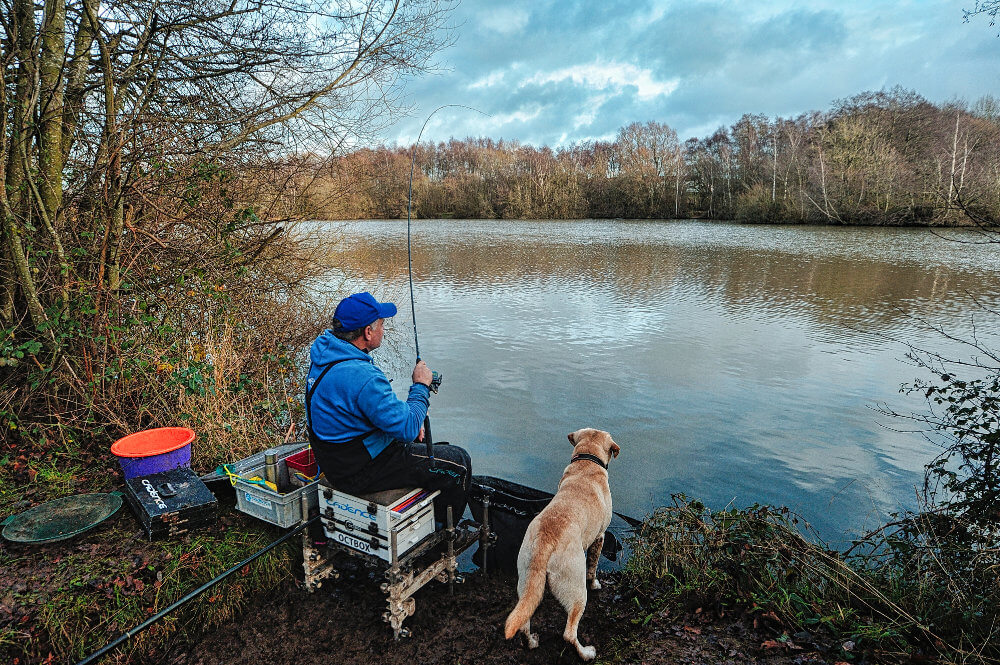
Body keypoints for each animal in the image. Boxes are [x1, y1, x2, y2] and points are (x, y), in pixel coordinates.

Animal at [508, 426, 616, 660]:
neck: (586, 462)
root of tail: (545, 543)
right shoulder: (600, 536)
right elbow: (593, 568)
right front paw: (596, 584)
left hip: (527, 584)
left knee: (523, 624)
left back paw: (532, 642)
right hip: (576, 590)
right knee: (569, 633)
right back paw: (587, 653)